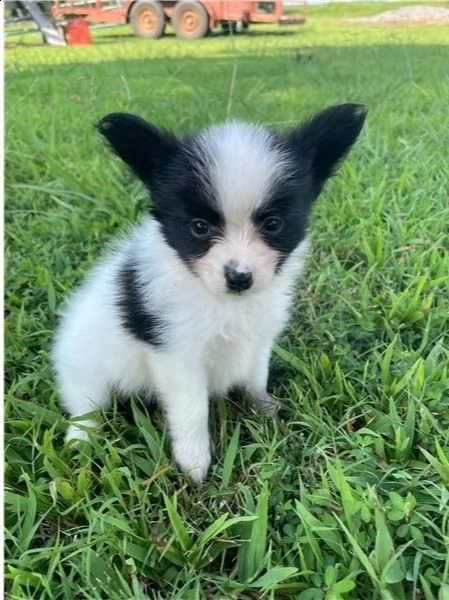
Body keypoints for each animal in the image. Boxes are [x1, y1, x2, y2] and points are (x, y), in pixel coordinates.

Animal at [52, 102, 366, 478]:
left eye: (273, 224)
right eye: (199, 228)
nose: (239, 277)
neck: (224, 302)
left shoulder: (258, 337)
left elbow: (255, 378)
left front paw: (264, 409)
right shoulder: (177, 352)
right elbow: (192, 408)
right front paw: (194, 461)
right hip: (85, 367)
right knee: (87, 405)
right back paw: (80, 440)